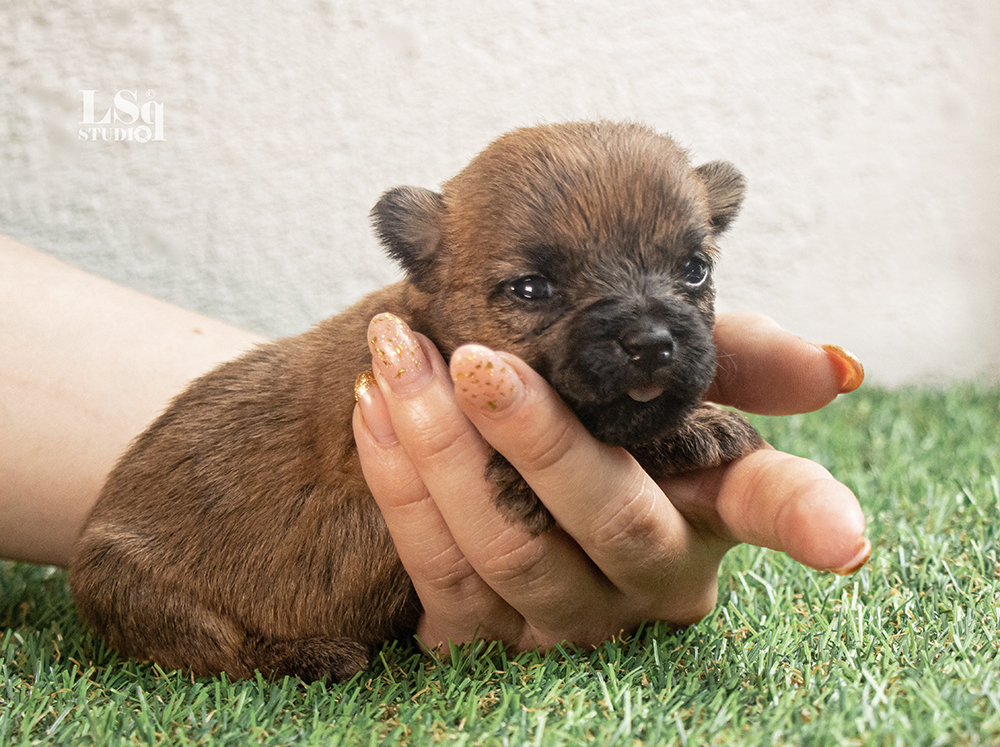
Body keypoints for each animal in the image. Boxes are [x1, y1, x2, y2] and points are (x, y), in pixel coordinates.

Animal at [66, 121, 760, 684]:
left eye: (695, 269)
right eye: (531, 289)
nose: (651, 342)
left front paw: (697, 422)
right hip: (128, 583)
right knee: (216, 651)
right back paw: (309, 656)